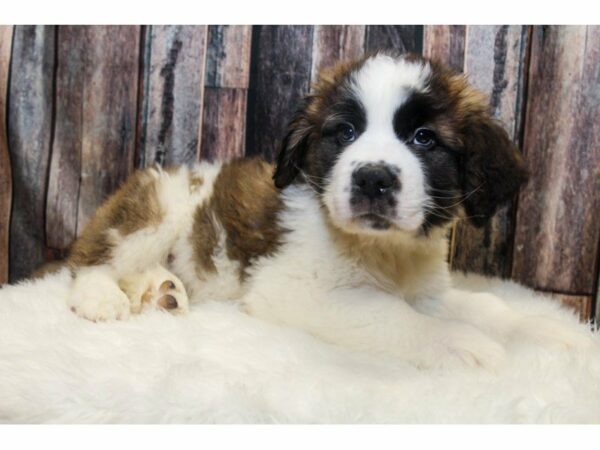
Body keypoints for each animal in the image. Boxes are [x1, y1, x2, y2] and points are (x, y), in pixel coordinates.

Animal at [43, 51, 596, 370]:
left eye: (424, 138)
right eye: (344, 132)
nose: (373, 178)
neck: (380, 249)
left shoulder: (427, 290)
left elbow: (485, 307)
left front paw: (543, 331)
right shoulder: (296, 291)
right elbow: (391, 315)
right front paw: (459, 343)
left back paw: (161, 292)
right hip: (159, 205)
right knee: (92, 257)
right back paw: (102, 297)